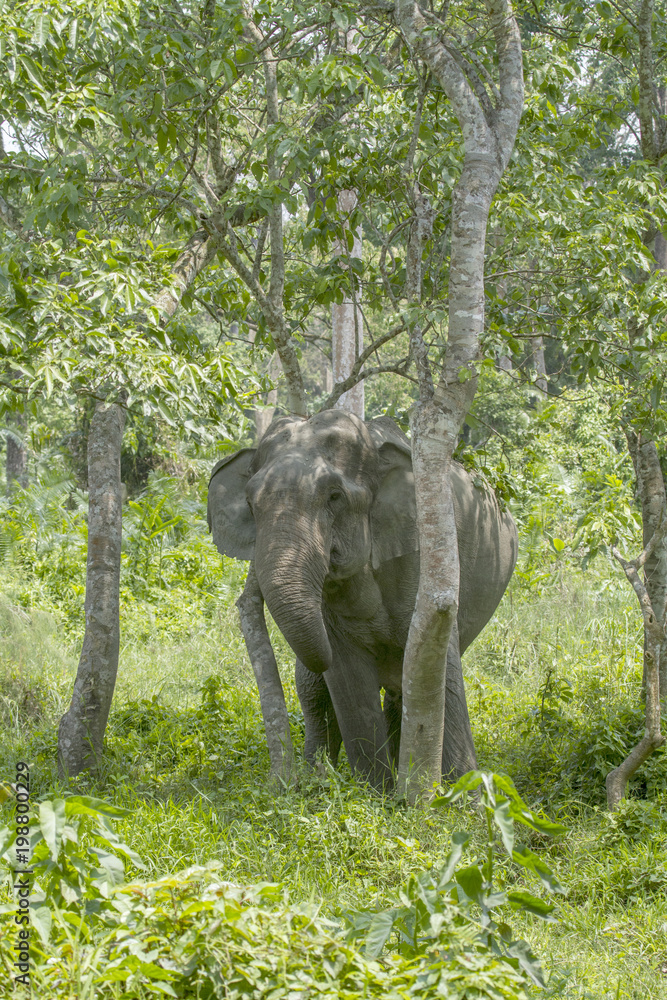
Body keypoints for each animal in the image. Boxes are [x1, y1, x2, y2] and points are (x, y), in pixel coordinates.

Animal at [207, 410, 518, 789]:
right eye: (251, 504)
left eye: (335, 496)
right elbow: (345, 675)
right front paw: (375, 791)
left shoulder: (422, 559)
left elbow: (438, 661)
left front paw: (462, 790)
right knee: (314, 691)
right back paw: (317, 778)